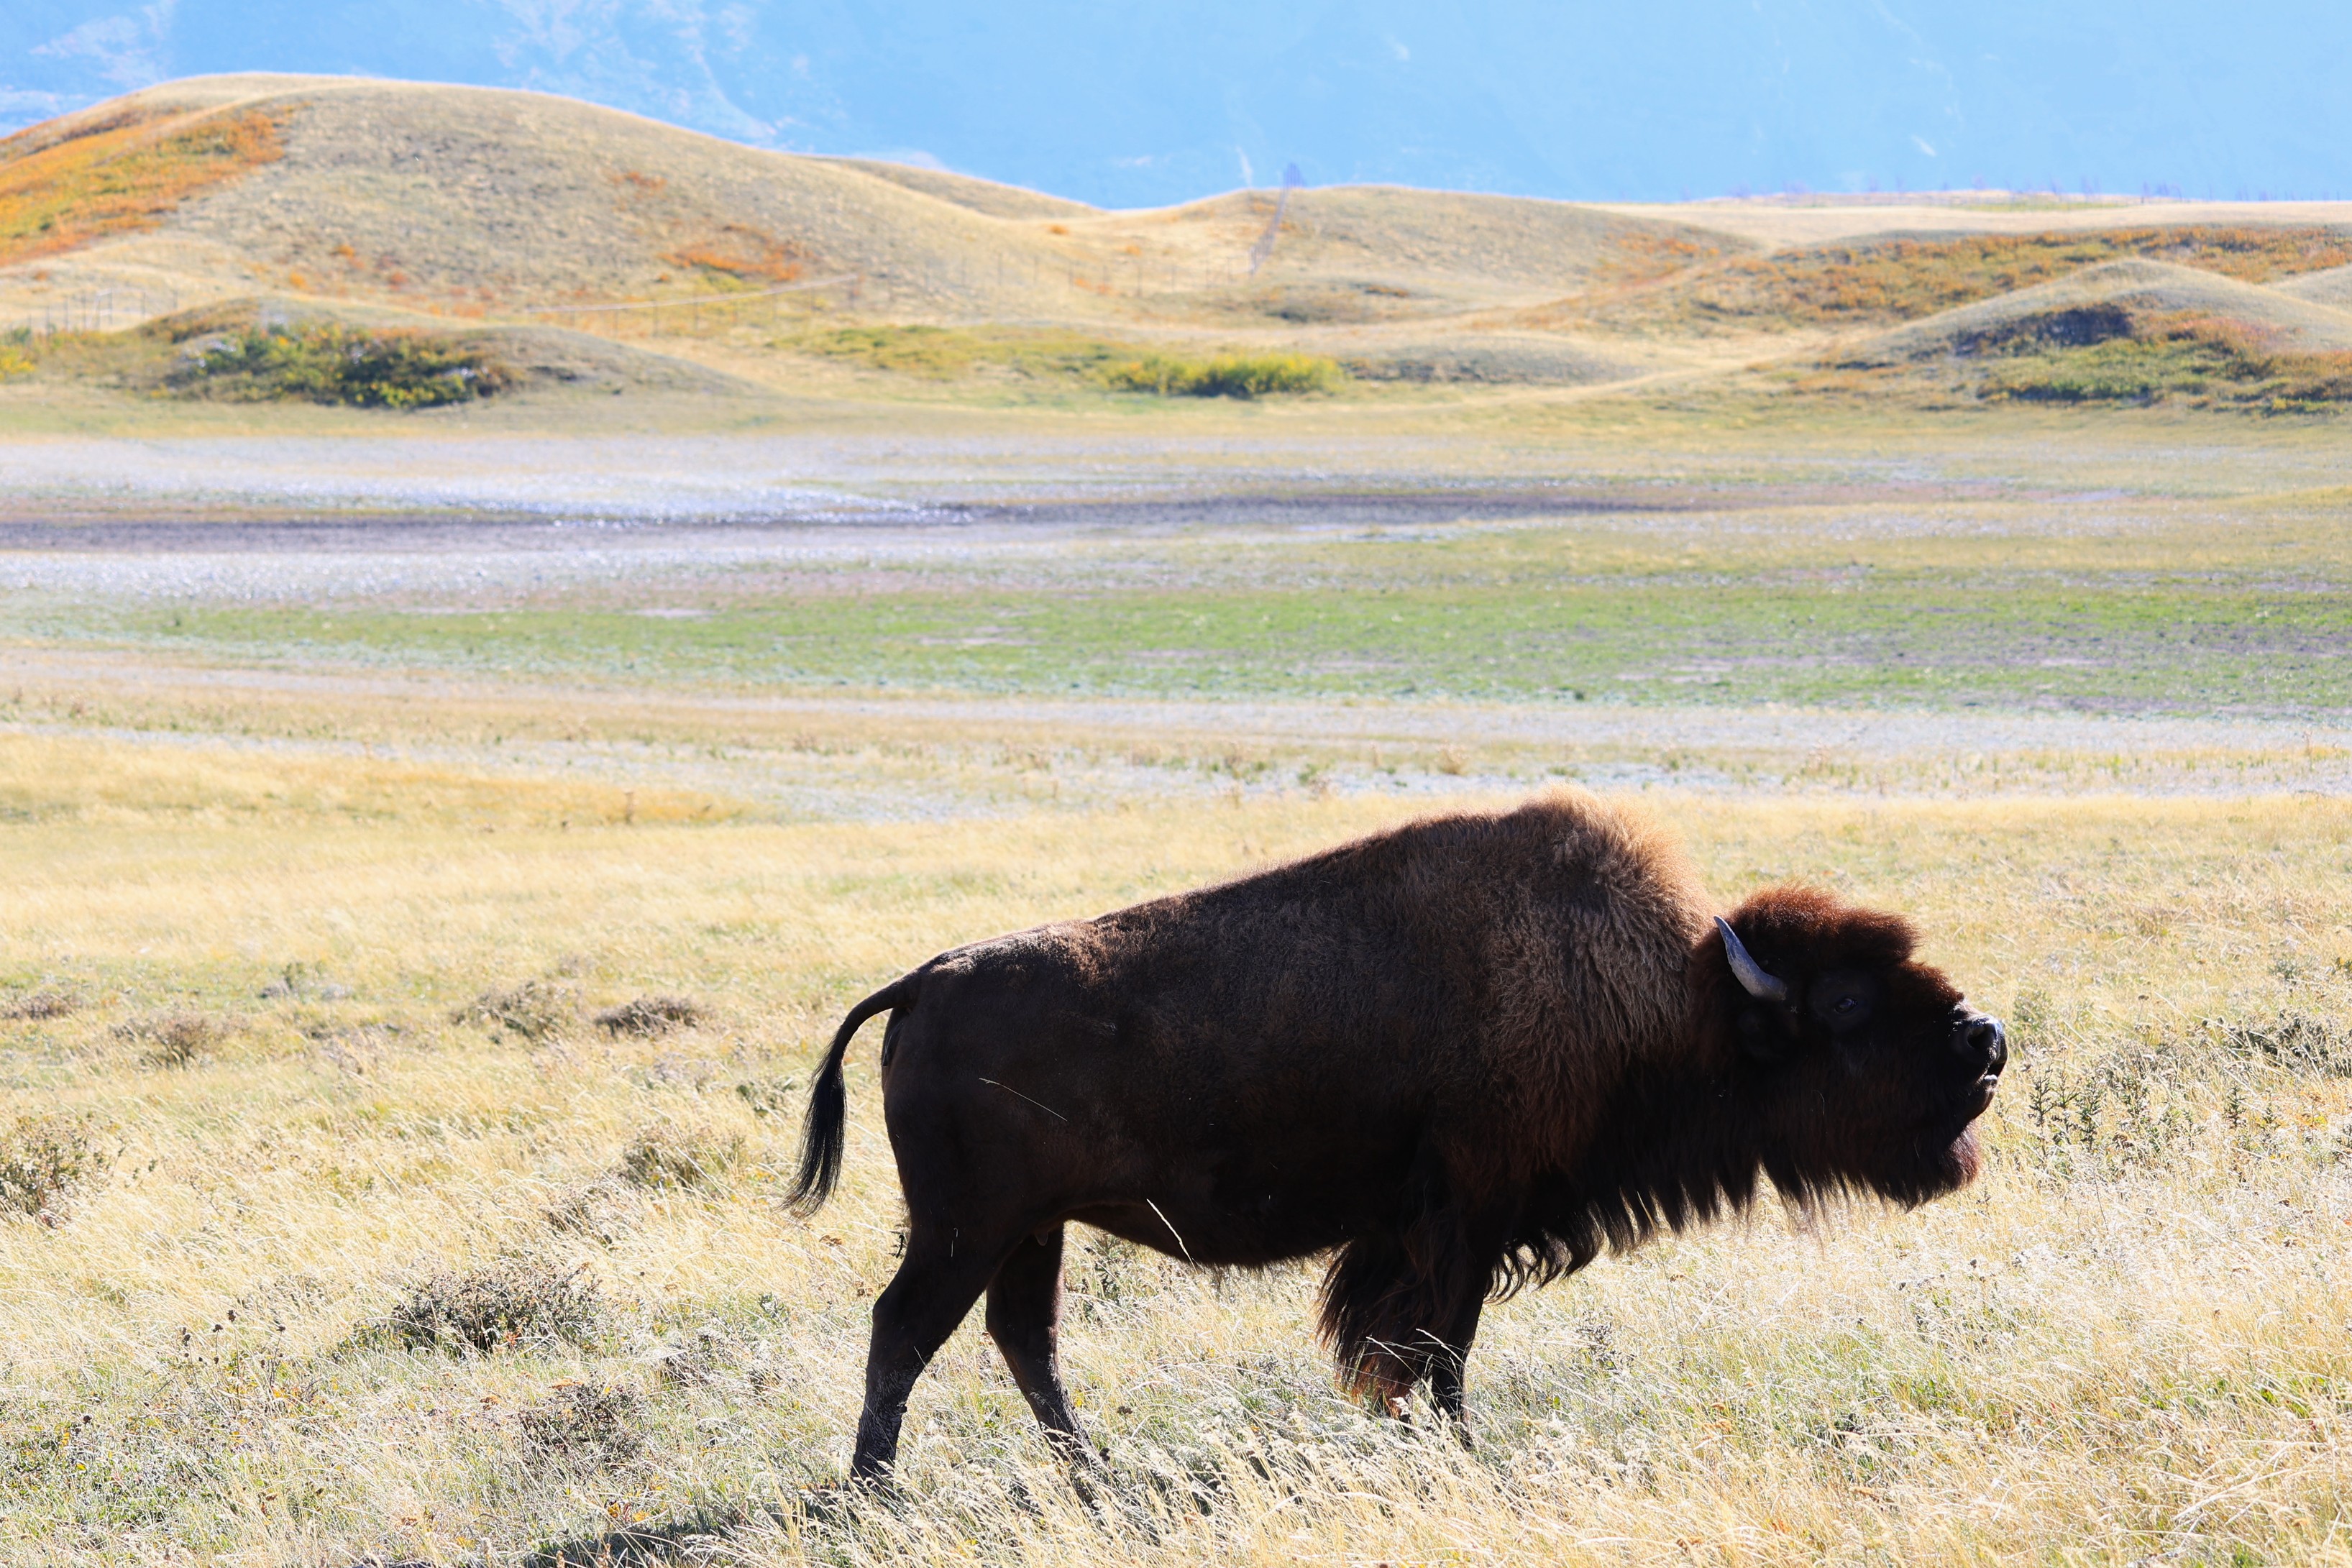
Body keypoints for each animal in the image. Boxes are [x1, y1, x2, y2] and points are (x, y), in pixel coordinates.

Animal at [789, 791, 2006, 1481]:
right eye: (1843, 1001)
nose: (1985, 1041)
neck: (1674, 999)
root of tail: (919, 983)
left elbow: (1420, 1353)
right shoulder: (1463, 1222)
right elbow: (1437, 1354)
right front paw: (1461, 1456)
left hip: (1028, 1229)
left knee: (1020, 1340)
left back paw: (1091, 1482)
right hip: (966, 1226)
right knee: (906, 1329)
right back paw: (873, 1494)